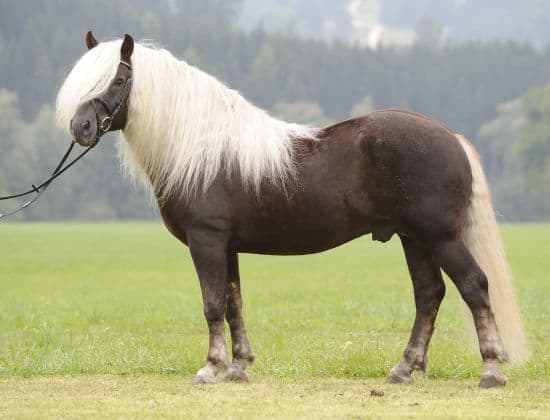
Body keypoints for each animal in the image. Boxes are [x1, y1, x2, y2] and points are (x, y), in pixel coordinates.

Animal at [57, 33, 532, 390]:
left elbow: (212, 305)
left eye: (119, 78)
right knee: (429, 295)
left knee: (474, 286)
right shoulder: (228, 247)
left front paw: (210, 368)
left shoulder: (206, 240)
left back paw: (491, 370)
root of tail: (450, 136)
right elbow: (233, 303)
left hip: (440, 238)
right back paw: (403, 369)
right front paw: (239, 367)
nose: (80, 127)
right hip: (414, 239)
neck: (201, 147)